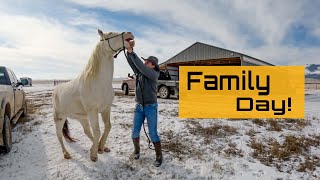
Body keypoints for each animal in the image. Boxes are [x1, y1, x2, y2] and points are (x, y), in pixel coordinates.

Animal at [52, 29, 134, 162]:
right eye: (110, 34)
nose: (129, 34)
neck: (99, 82)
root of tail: (56, 90)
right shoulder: (93, 111)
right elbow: (97, 131)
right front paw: (94, 154)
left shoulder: (106, 109)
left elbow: (107, 127)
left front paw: (99, 147)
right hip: (59, 118)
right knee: (59, 135)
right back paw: (66, 154)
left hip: (82, 117)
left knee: (87, 131)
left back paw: (101, 147)